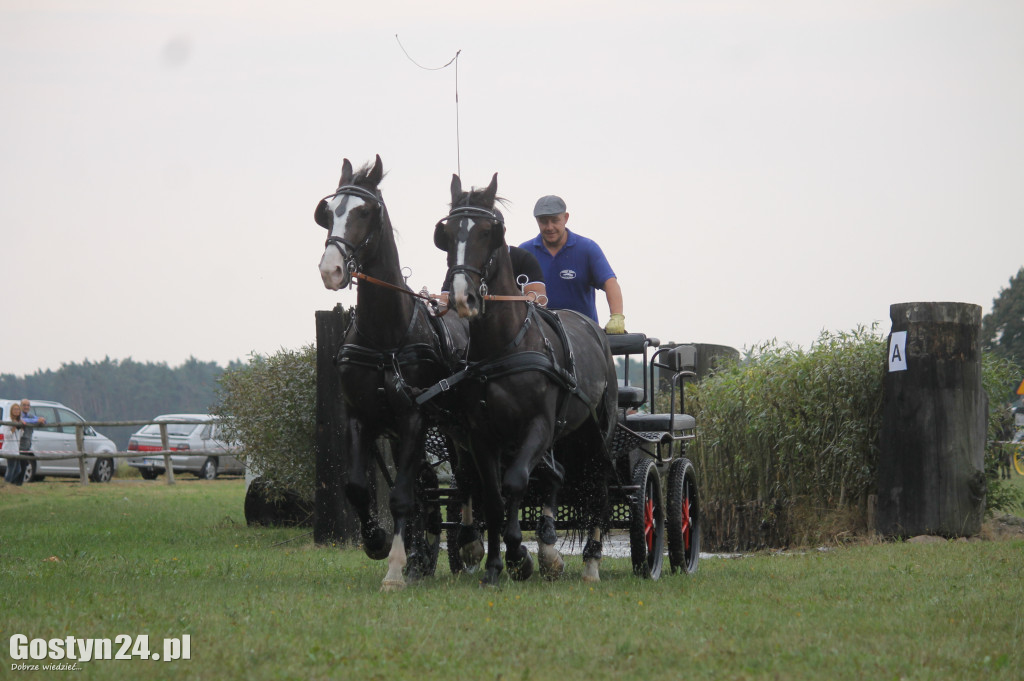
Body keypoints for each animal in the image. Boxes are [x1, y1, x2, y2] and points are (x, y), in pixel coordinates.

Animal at [315, 155, 475, 589]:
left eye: (365, 212)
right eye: (328, 213)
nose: (331, 269)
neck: (386, 336)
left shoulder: (414, 418)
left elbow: (402, 496)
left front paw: (396, 569)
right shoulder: (359, 417)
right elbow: (358, 488)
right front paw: (378, 542)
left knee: (467, 477)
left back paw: (471, 542)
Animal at [430, 173, 614, 581]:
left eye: (488, 232)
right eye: (446, 233)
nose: (462, 296)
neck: (504, 347)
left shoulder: (538, 426)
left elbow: (515, 482)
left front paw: (519, 555)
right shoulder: (481, 435)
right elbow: (494, 497)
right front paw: (495, 566)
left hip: (596, 429)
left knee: (597, 485)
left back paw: (590, 561)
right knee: (558, 474)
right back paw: (547, 543)